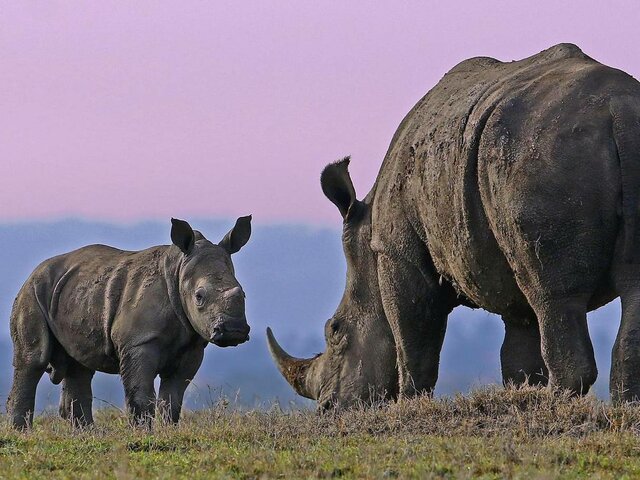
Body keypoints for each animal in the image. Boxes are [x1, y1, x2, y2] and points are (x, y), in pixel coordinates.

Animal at [8, 216, 252, 430]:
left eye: (244, 294)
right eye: (199, 297)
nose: (234, 330)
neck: (179, 271)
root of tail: (32, 273)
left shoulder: (192, 346)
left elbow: (173, 397)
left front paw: (169, 431)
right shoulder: (138, 341)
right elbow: (141, 392)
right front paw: (144, 432)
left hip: (74, 292)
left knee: (79, 365)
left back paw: (87, 434)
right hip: (32, 291)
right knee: (33, 360)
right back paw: (22, 432)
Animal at [268, 44, 640, 408]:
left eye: (335, 329)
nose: (328, 409)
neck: (367, 234)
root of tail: (619, 109)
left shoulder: (395, 252)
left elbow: (412, 334)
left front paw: (410, 405)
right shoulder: (506, 278)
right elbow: (518, 348)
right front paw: (521, 396)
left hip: (544, 156)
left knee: (554, 295)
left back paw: (558, 402)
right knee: (626, 288)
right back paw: (625, 406)